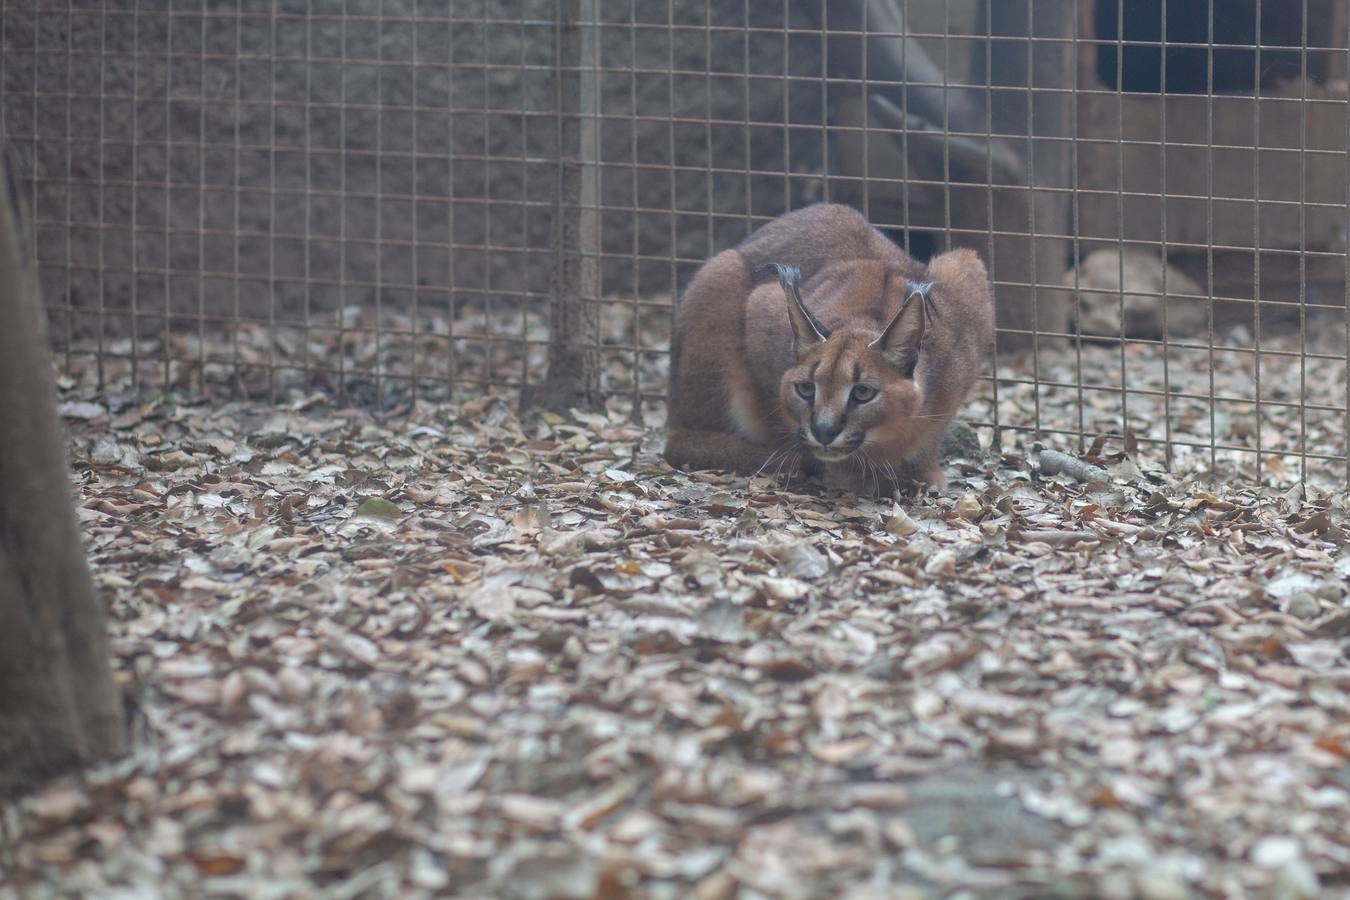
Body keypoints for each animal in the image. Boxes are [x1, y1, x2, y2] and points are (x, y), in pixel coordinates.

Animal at [661, 203, 993, 493]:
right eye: (806, 389)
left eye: (863, 393)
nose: (823, 431)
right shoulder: (761, 305)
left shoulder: (966, 278)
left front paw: (923, 471)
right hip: (722, 270)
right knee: (679, 439)